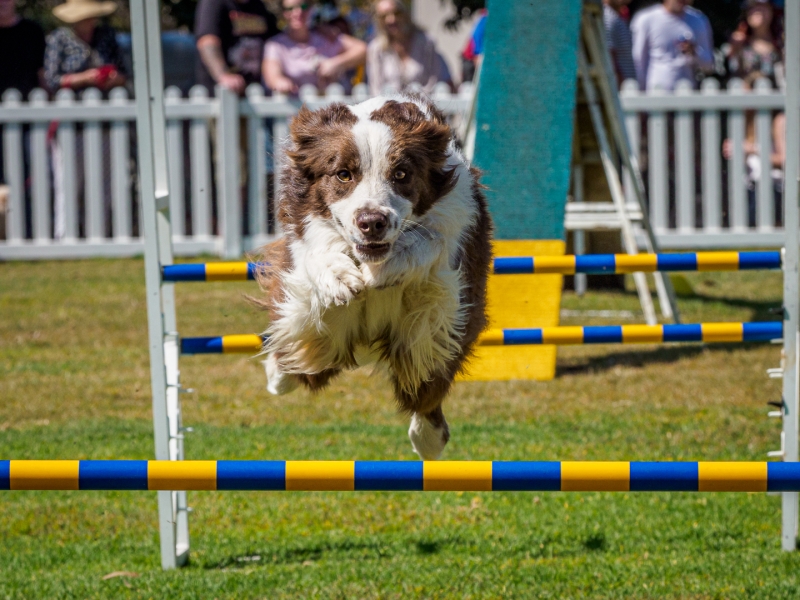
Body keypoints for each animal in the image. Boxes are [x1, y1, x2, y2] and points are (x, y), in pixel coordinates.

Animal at [256, 95, 494, 460]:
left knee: (425, 390)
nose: (372, 222)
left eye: (401, 174)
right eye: (343, 174)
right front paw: (339, 277)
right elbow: (317, 252)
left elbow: (431, 240)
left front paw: (394, 264)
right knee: (297, 363)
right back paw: (277, 371)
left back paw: (429, 440)